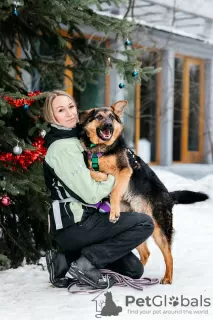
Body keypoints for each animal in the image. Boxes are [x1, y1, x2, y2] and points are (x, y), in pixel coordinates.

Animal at [78, 100, 208, 284]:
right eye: (99, 117)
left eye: (111, 117)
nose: (109, 125)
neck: (102, 150)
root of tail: (168, 196)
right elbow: (92, 171)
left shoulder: (125, 171)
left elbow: (115, 189)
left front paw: (113, 208)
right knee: (146, 253)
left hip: (160, 230)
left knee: (169, 255)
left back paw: (167, 278)